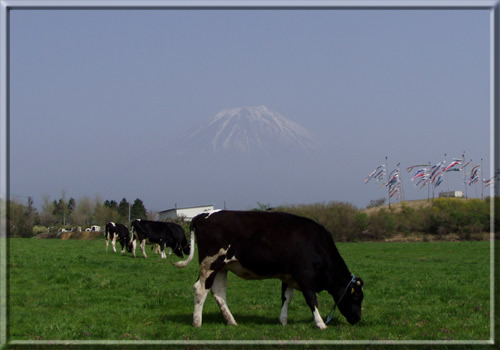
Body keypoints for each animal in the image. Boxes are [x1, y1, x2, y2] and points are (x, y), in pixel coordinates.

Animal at [174, 211, 366, 328]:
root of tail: (204, 215)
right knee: (200, 289)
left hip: (222, 267)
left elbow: (286, 298)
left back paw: (231, 322)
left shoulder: (288, 276)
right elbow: (312, 300)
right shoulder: (305, 276)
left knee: (218, 292)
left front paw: (283, 321)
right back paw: (197, 322)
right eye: (356, 296)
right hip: (210, 264)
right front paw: (320, 323)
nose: (357, 319)